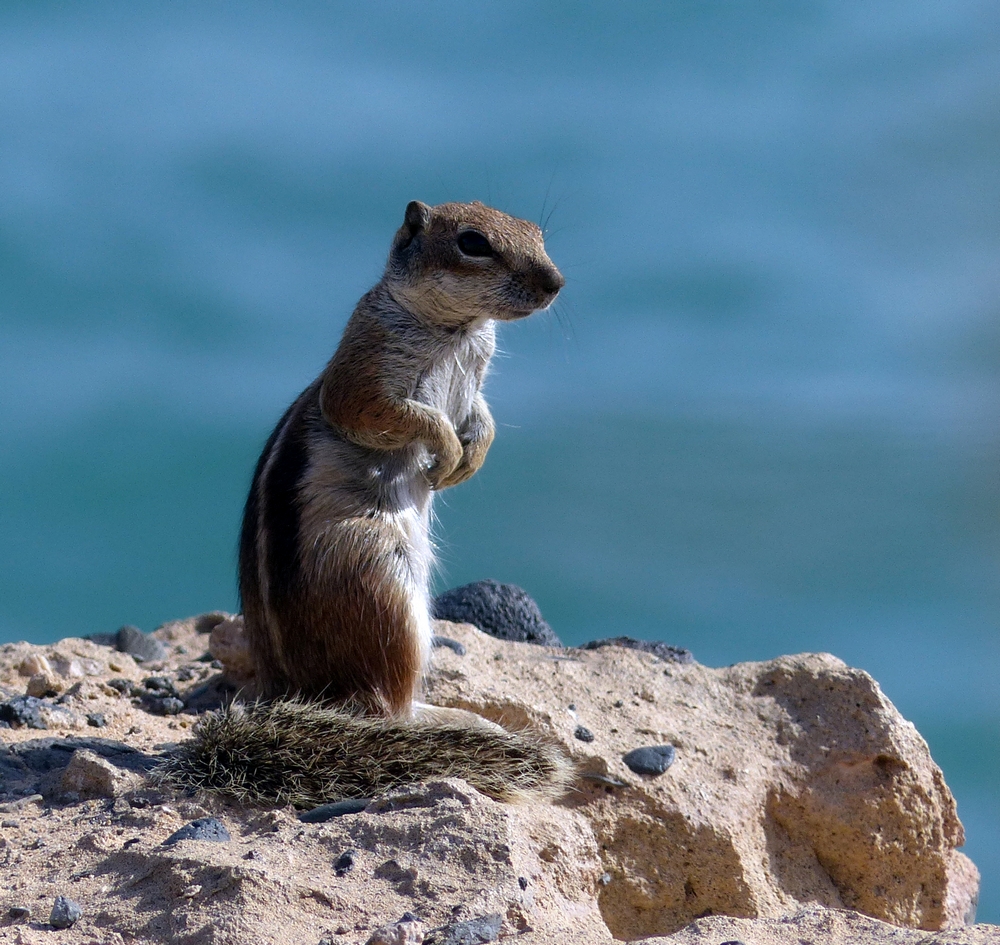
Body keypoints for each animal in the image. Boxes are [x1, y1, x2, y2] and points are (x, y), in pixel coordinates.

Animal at [158, 199, 572, 804]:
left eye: (537, 233)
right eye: (473, 243)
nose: (556, 283)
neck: (459, 330)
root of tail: (298, 695)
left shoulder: (476, 376)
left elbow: (482, 416)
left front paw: (470, 456)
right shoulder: (366, 374)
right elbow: (397, 414)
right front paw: (446, 451)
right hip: (383, 587)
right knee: (385, 706)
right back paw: (451, 721)